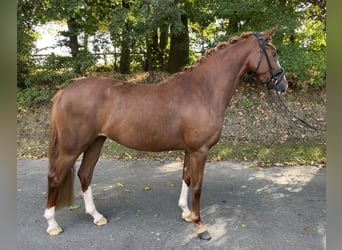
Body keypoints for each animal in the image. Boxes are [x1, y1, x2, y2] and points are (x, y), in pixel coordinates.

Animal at [44, 25, 288, 240]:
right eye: (273, 53)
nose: (283, 85)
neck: (203, 90)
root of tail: (64, 92)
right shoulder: (200, 151)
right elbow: (197, 187)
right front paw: (200, 225)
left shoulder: (190, 150)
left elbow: (186, 178)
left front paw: (186, 213)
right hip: (71, 148)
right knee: (55, 177)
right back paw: (53, 224)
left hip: (96, 142)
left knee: (84, 174)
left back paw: (96, 216)